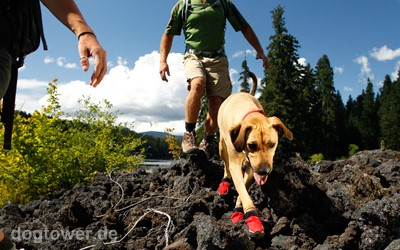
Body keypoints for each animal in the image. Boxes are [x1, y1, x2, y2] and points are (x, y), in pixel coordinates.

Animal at [217, 72, 292, 236]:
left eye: (272, 144)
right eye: (251, 145)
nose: (264, 171)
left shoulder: (252, 168)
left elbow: (243, 188)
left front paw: (238, 210)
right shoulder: (235, 163)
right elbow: (243, 190)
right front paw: (253, 217)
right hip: (222, 146)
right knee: (225, 164)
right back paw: (224, 182)